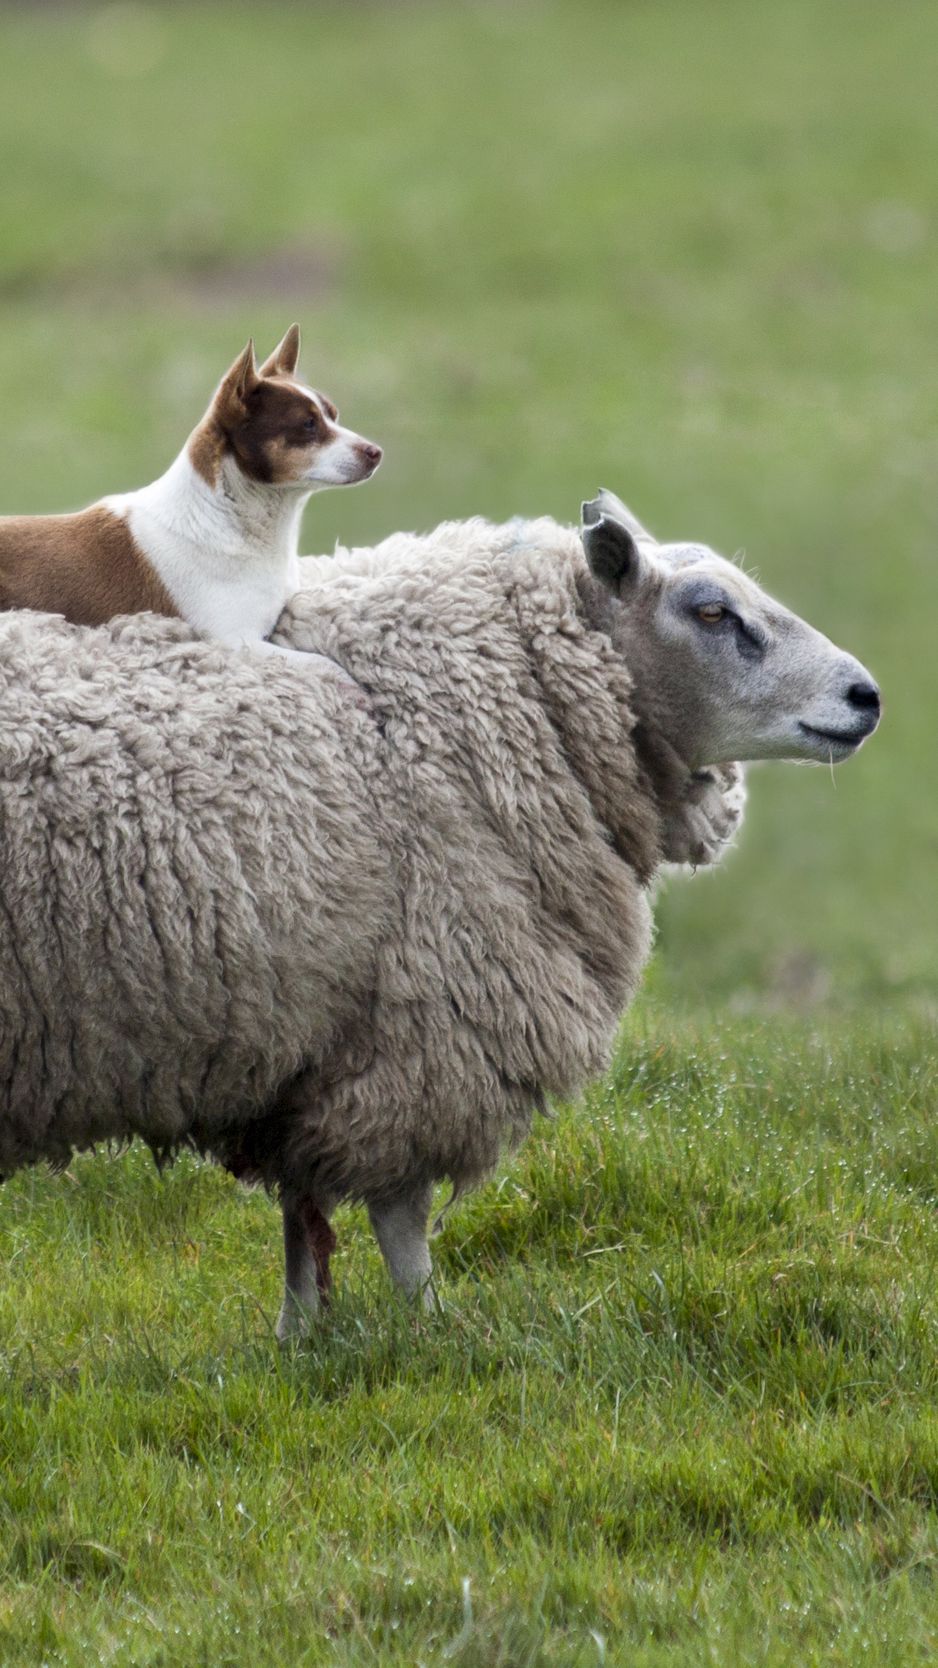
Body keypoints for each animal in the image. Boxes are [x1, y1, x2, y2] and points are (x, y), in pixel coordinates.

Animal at [0, 493, 880, 1336]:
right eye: (712, 612)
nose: (865, 697)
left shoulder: (310, 1050)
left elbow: (301, 1217)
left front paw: (300, 1337)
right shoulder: (428, 1028)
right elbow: (401, 1219)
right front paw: (432, 1329)